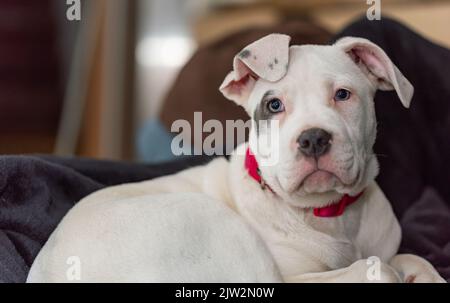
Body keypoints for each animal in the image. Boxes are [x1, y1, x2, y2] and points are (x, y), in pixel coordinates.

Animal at [29, 34, 446, 284]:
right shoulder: (295, 279)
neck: (331, 214)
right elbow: (377, 268)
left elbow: (411, 259)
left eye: (343, 95)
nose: (313, 138)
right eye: (274, 105)